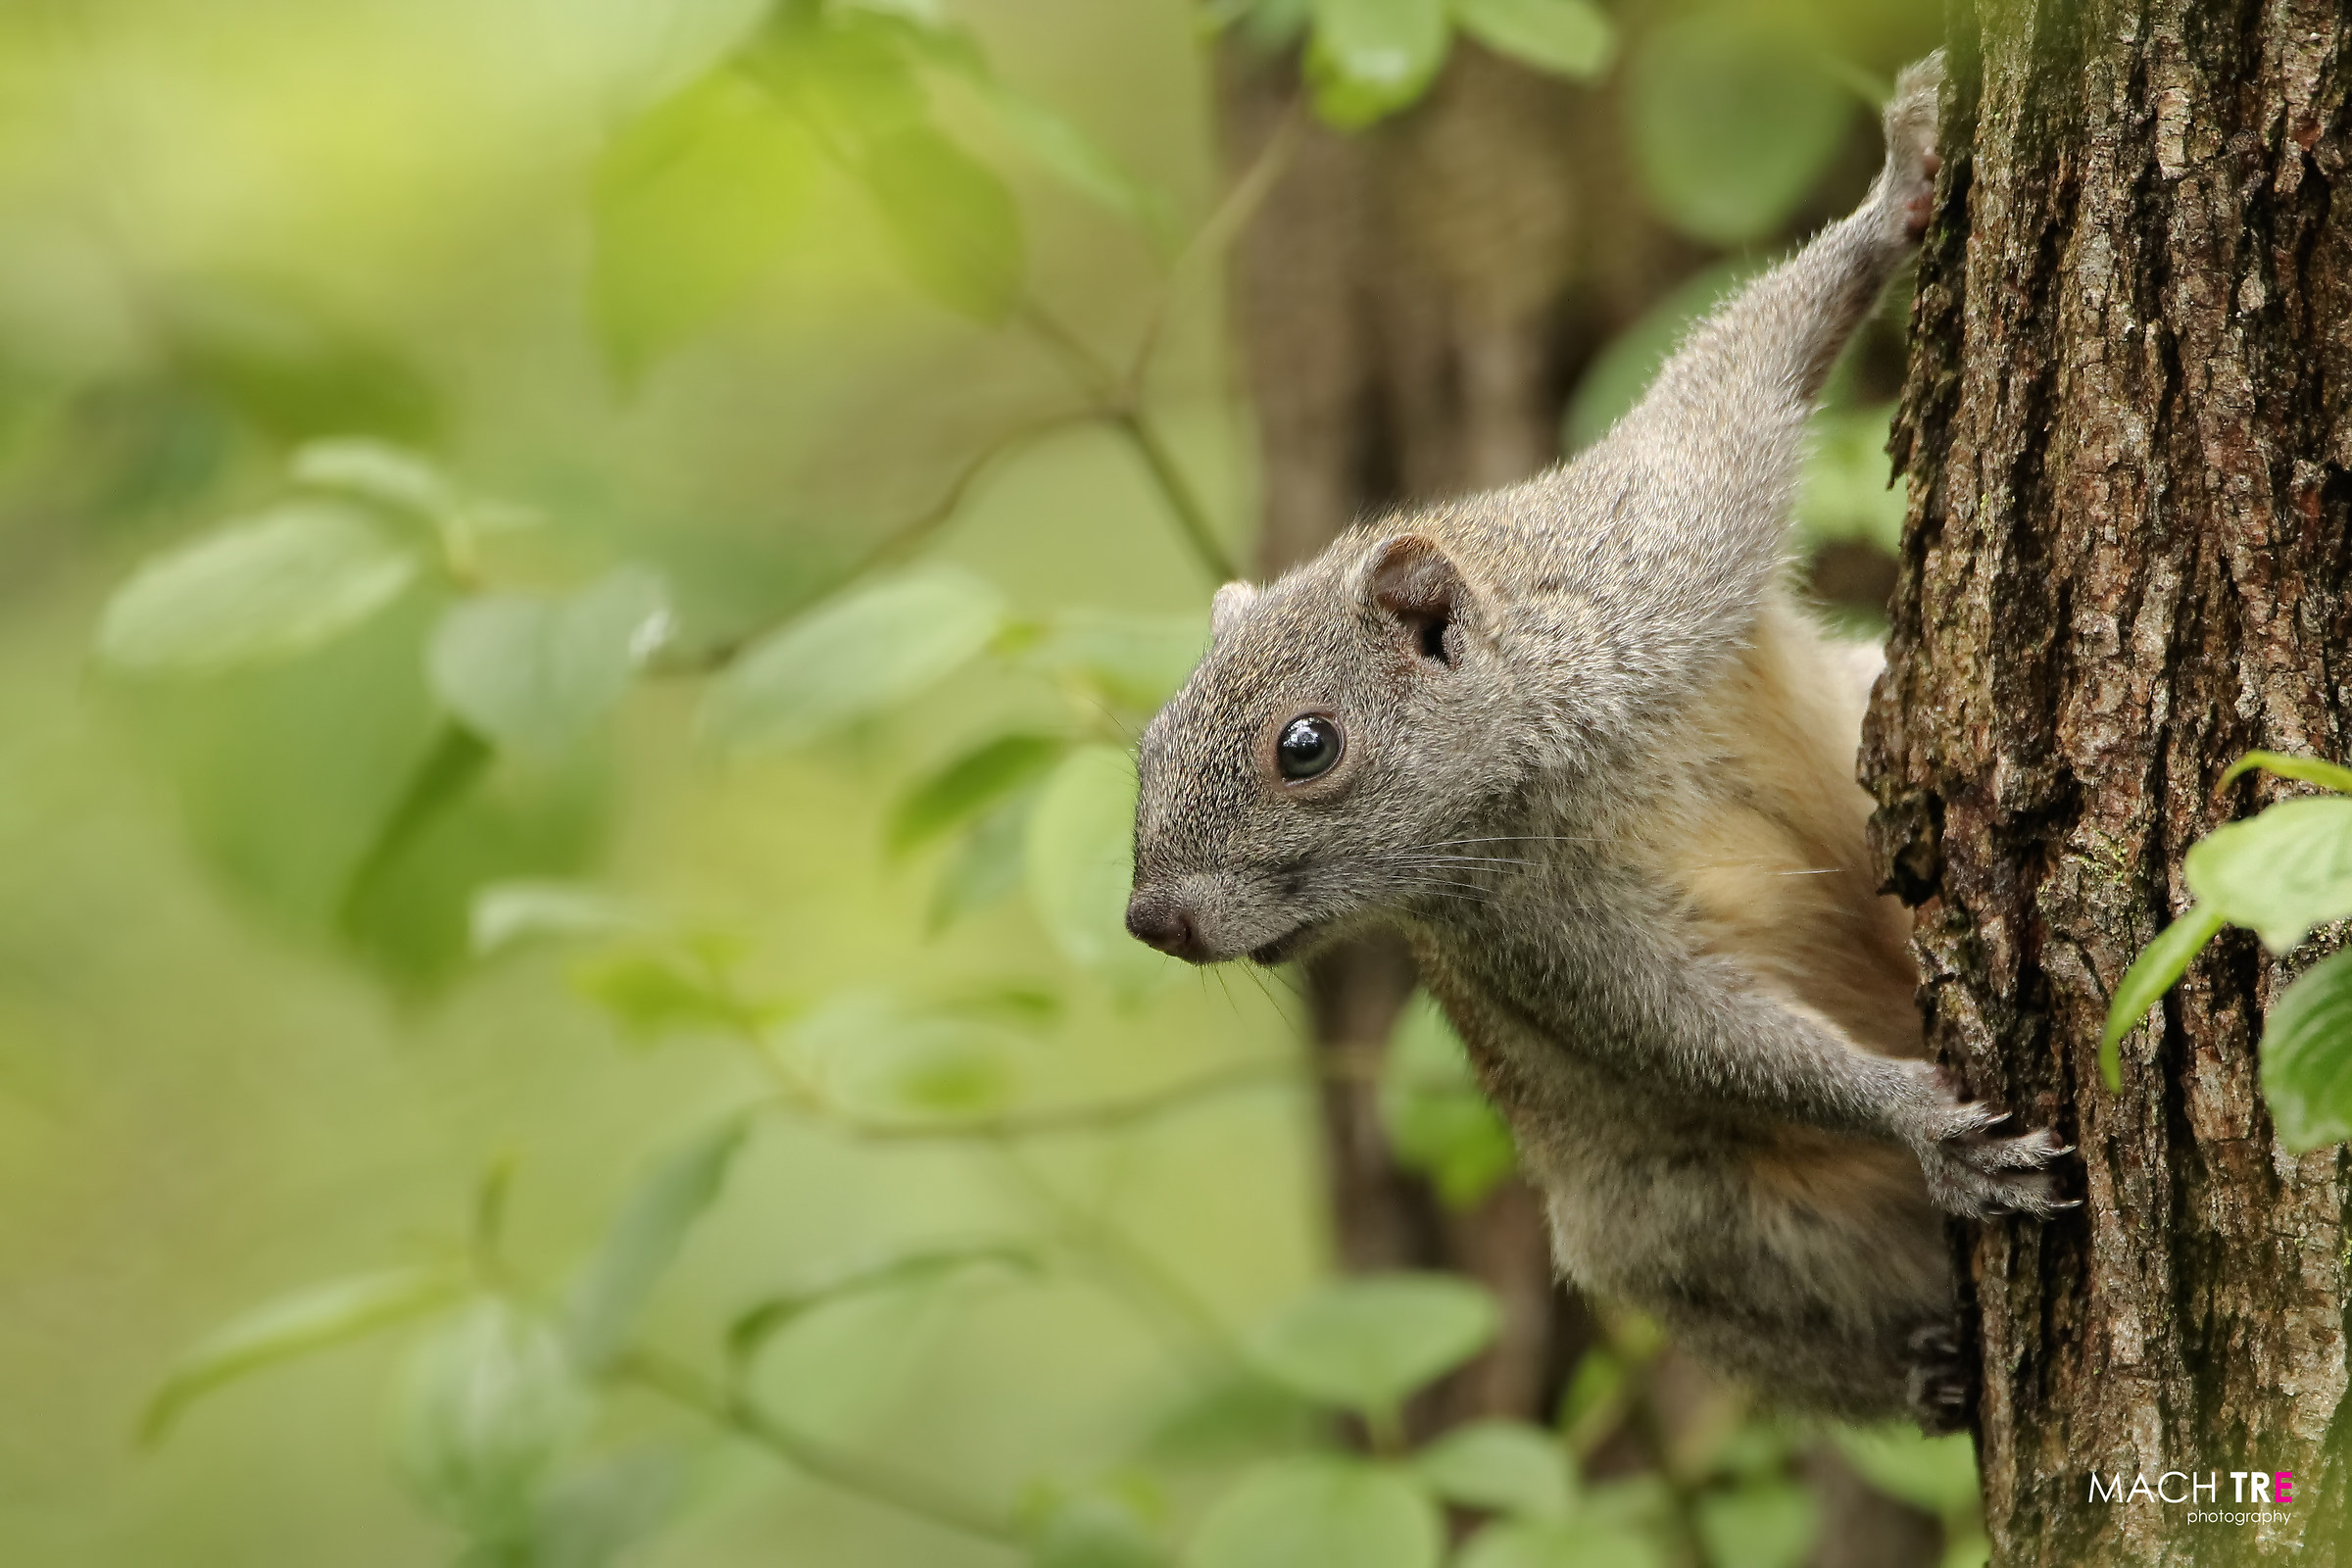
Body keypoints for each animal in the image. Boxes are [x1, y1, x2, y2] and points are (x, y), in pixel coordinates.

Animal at [1125, 53, 2074, 1428]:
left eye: (1306, 746)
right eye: (1146, 744)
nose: (1152, 919)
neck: (1561, 755)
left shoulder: (1668, 537)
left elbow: (1738, 363)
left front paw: (1899, 183)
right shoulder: (1531, 932)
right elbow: (1692, 1032)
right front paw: (1920, 1119)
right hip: (1683, 1225)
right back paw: (1930, 1366)